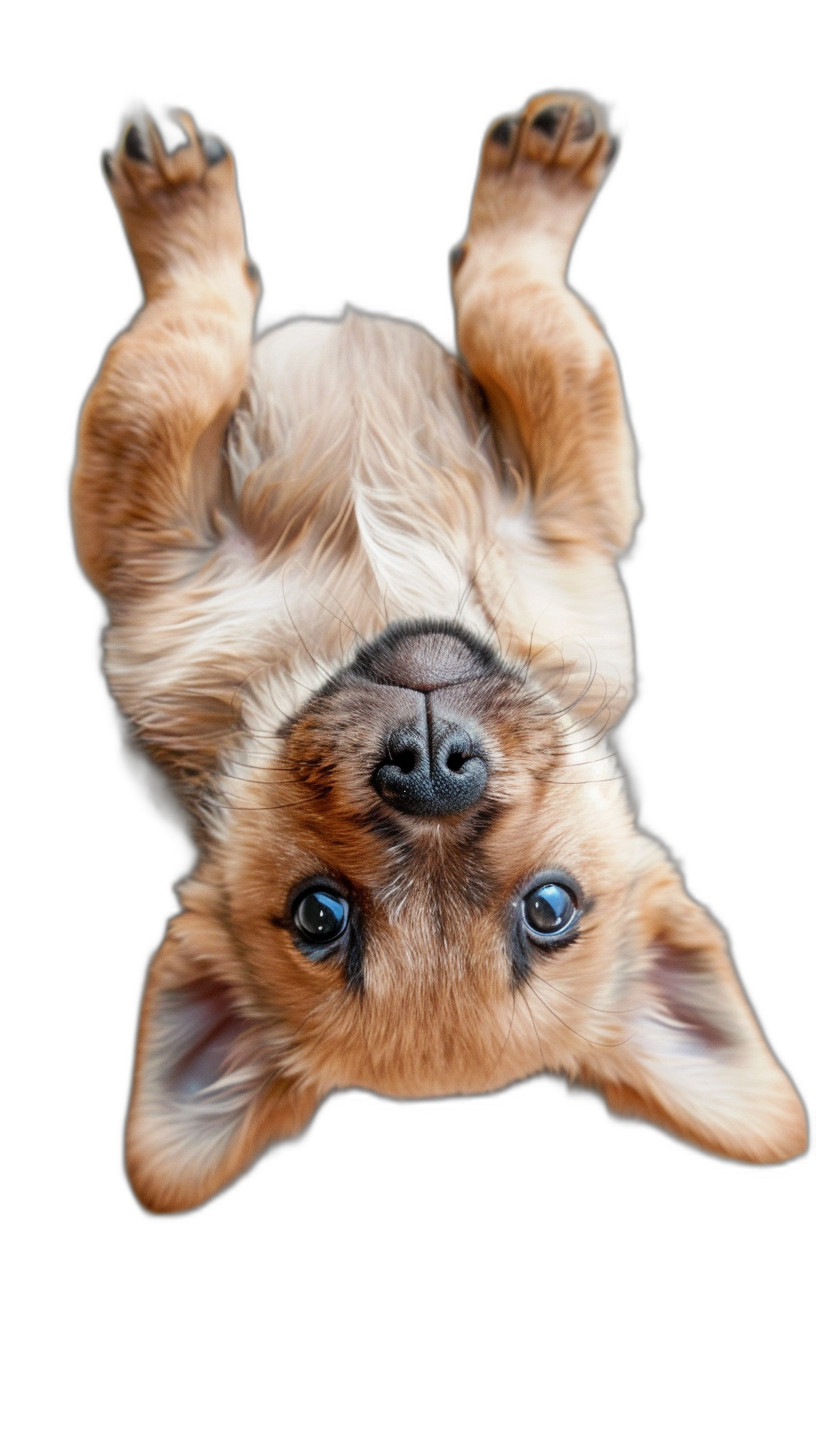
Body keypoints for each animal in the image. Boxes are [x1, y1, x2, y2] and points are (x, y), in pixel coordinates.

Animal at [71, 85, 810, 1211]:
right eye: (319, 916)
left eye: (549, 908)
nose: (428, 769)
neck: (378, 609)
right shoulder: (152, 550)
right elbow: (178, 365)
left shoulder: (573, 504)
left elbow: (526, 328)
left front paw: (536, 189)